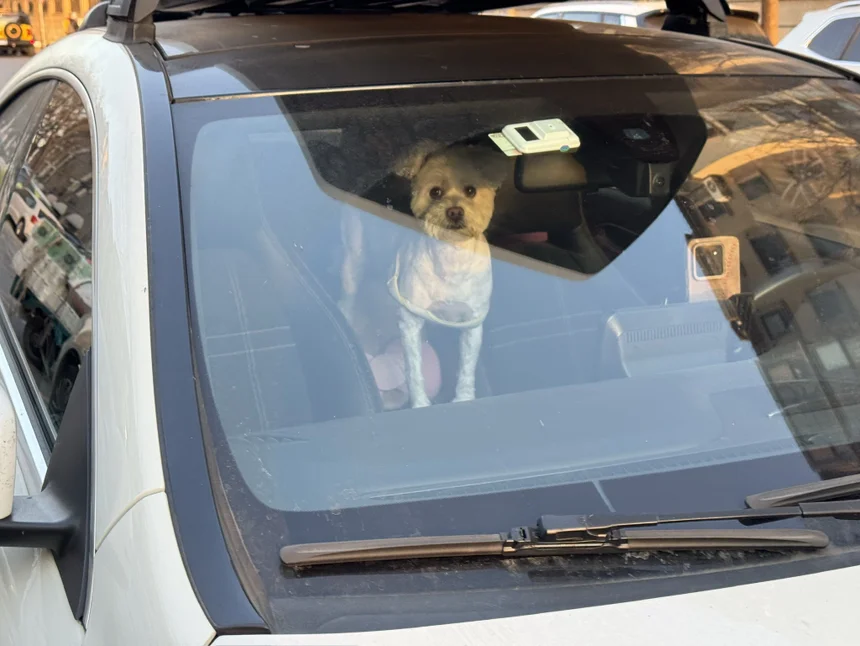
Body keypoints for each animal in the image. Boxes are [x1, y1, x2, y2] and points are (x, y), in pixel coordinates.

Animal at [340, 141, 507, 408]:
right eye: (435, 192)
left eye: (471, 190)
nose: (455, 211)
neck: (450, 259)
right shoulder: (410, 321)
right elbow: (413, 368)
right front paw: (420, 404)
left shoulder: (472, 323)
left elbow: (466, 367)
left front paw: (464, 399)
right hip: (353, 258)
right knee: (347, 297)